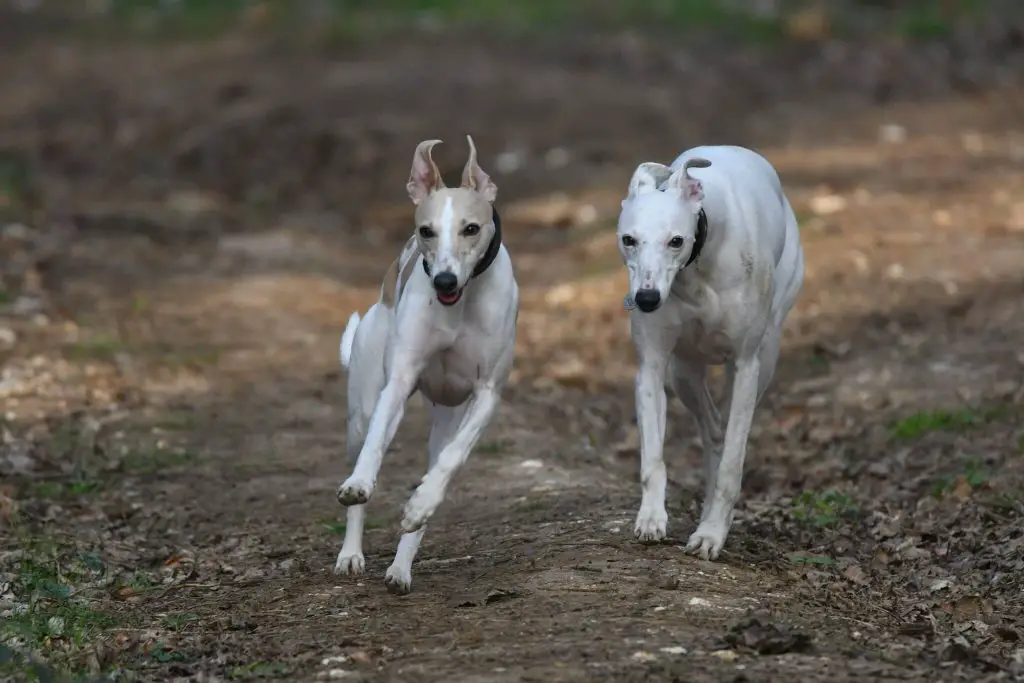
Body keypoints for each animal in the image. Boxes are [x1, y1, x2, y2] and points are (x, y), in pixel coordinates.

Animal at [331, 136, 516, 593]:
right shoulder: (397, 383)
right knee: (363, 452)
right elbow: (375, 447)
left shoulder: (487, 396)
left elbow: (452, 460)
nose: (443, 281)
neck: (460, 304)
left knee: (437, 466)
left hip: (446, 419)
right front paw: (359, 483)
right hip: (360, 410)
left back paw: (402, 563)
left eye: (471, 228)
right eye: (425, 231)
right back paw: (351, 553)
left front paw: (420, 505)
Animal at [614, 144, 806, 561]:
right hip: (684, 372)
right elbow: (653, 458)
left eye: (676, 240)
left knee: (726, 429)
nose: (647, 299)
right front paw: (651, 517)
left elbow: (733, 465)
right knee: (714, 428)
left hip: (765, 356)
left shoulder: (746, 365)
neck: (697, 266)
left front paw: (712, 534)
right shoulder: (653, 367)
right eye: (628, 239)